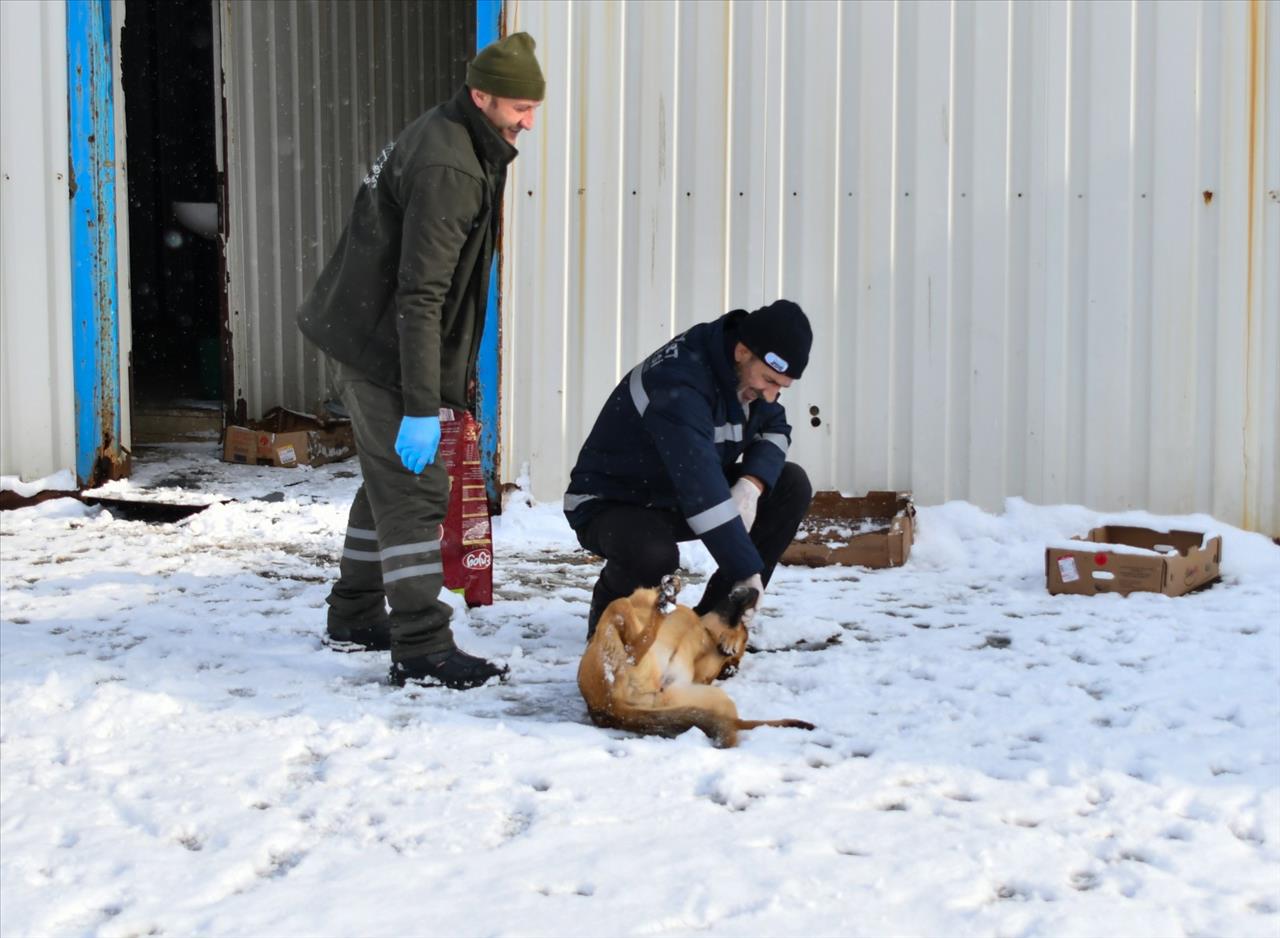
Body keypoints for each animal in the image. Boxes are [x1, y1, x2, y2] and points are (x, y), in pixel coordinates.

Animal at [578, 570, 814, 747]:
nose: (755, 590)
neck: (704, 630)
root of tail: (609, 708)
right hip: (708, 698)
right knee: (731, 723)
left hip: (617, 637)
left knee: (632, 643)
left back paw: (663, 607)